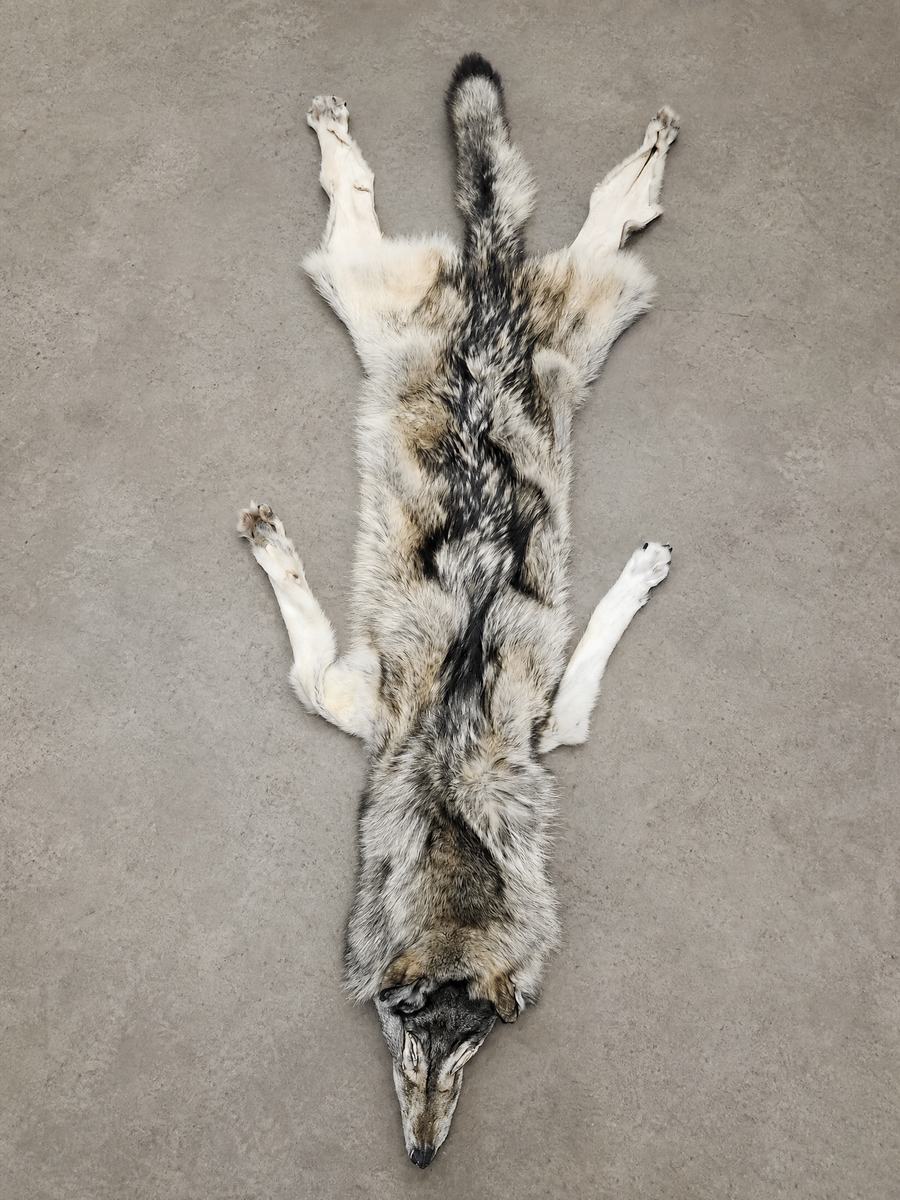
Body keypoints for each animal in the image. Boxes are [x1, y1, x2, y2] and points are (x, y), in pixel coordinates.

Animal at [238, 54, 679, 1167]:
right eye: (405, 1045)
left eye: (466, 1047)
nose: (423, 1159)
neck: (447, 803)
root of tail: (489, 292)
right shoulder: (369, 701)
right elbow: (305, 664)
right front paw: (273, 546)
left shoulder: (542, 720)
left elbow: (594, 628)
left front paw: (641, 571)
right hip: (382, 301)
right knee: (367, 204)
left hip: (567, 315)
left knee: (603, 215)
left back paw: (646, 155)